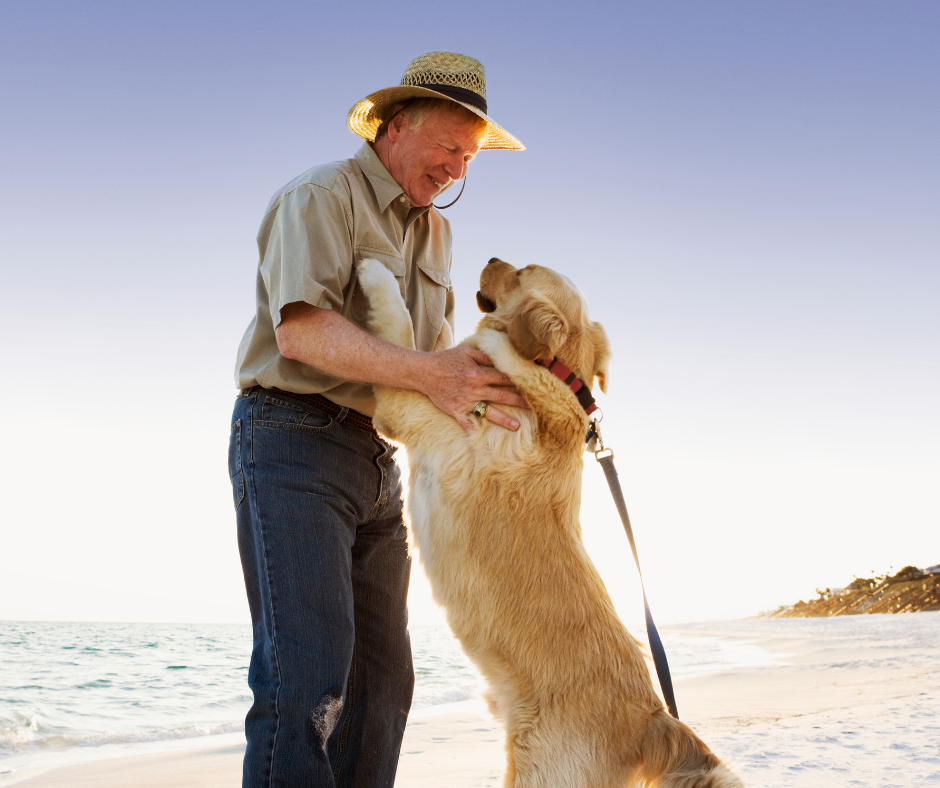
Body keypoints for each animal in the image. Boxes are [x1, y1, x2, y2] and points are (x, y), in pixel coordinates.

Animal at [354, 258, 740, 788]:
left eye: (522, 270)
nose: (490, 259)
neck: (551, 376)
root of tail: (655, 718)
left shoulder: (408, 408)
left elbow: (401, 329)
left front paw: (375, 273)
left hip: (543, 771)